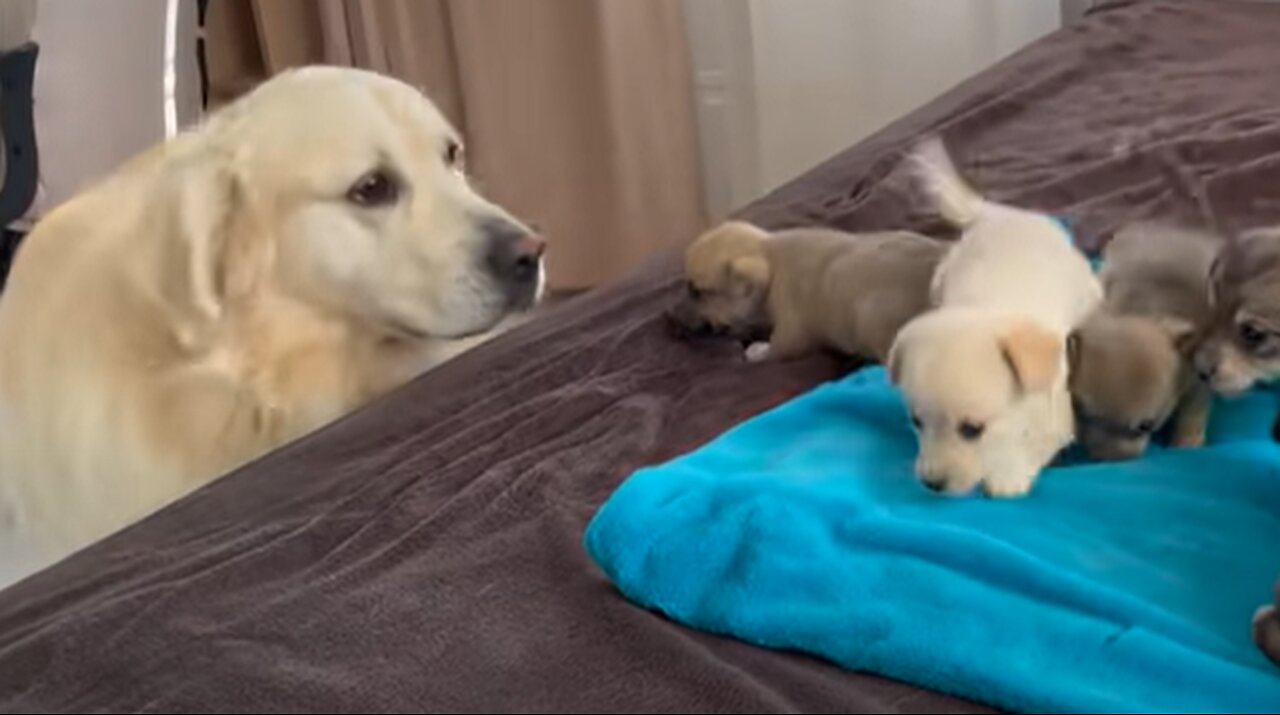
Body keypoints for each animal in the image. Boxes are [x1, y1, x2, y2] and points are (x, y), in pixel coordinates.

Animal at [665, 221, 947, 365]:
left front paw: (756, 350)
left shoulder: (791, 331)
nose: (668, 317)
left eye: (697, 291)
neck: (769, 256)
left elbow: (775, 348)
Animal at [885, 138, 1105, 498]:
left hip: (1084, 281)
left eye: (972, 429)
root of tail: (994, 213)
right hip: (945, 271)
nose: (931, 484)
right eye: (916, 422)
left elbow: (1034, 442)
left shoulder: (1057, 416)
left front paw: (1007, 474)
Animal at [1064, 221, 1213, 460]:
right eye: (1080, 411)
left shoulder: (1197, 379)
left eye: (1146, 426)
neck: (1139, 310)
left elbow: (1194, 411)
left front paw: (1187, 443)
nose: (1106, 460)